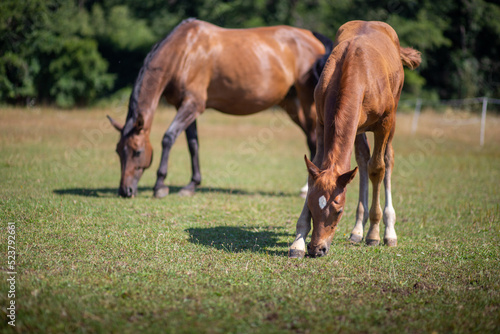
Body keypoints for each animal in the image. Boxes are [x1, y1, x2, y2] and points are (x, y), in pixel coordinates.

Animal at [106, 18, 332, 198]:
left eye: (137, 152)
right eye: (117, 151)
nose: (125, 191)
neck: (184, 51)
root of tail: (313, 37)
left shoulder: (192, 105)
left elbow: (168, 138)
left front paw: (160, 186)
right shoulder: (186, 106)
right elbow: (193, 144)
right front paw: (191, 185)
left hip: (307, 101)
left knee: (315, 139)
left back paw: (307, 188)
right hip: (292, 104)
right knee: (311, 138)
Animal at [288, 20, 420, 258]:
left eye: (339, 210)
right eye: (311, 206)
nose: (317, 248)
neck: (355, 71)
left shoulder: (384, 123)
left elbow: (378, 168)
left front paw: (374, 234)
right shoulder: (322, 123)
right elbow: (317, 168)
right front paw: (298, 242)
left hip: (392, 118)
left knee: (387, 159)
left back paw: (388, 231)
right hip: (357, 128)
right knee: (362, 160)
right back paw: (357, 230)